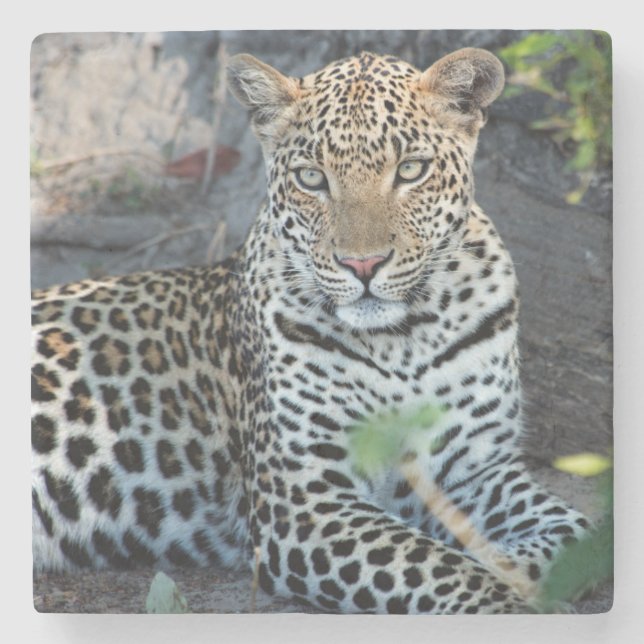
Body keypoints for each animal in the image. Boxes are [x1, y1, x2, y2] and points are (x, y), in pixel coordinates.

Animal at [31, 47, 591, 614]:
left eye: (410, 170)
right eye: (312, 178)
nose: (362, 265)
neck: (404, 339)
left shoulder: (477, 467)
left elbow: (574, 531)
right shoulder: (303, 500)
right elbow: (439, 566)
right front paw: (504, 600)